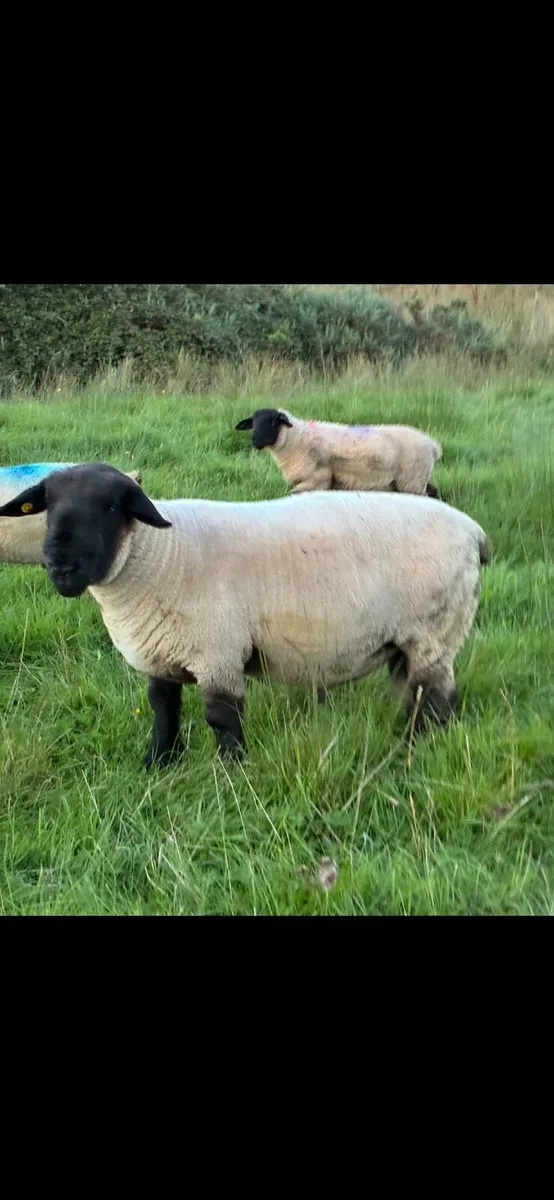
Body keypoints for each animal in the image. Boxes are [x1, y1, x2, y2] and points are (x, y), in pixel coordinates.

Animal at [235, 409, 443, 498]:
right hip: (416, 479)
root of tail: (433, 445)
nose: (255, 440)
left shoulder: (318, 479)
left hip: (412, 480)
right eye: (253, 422)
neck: (297, 438)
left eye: (272, 421)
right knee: (433, 491)